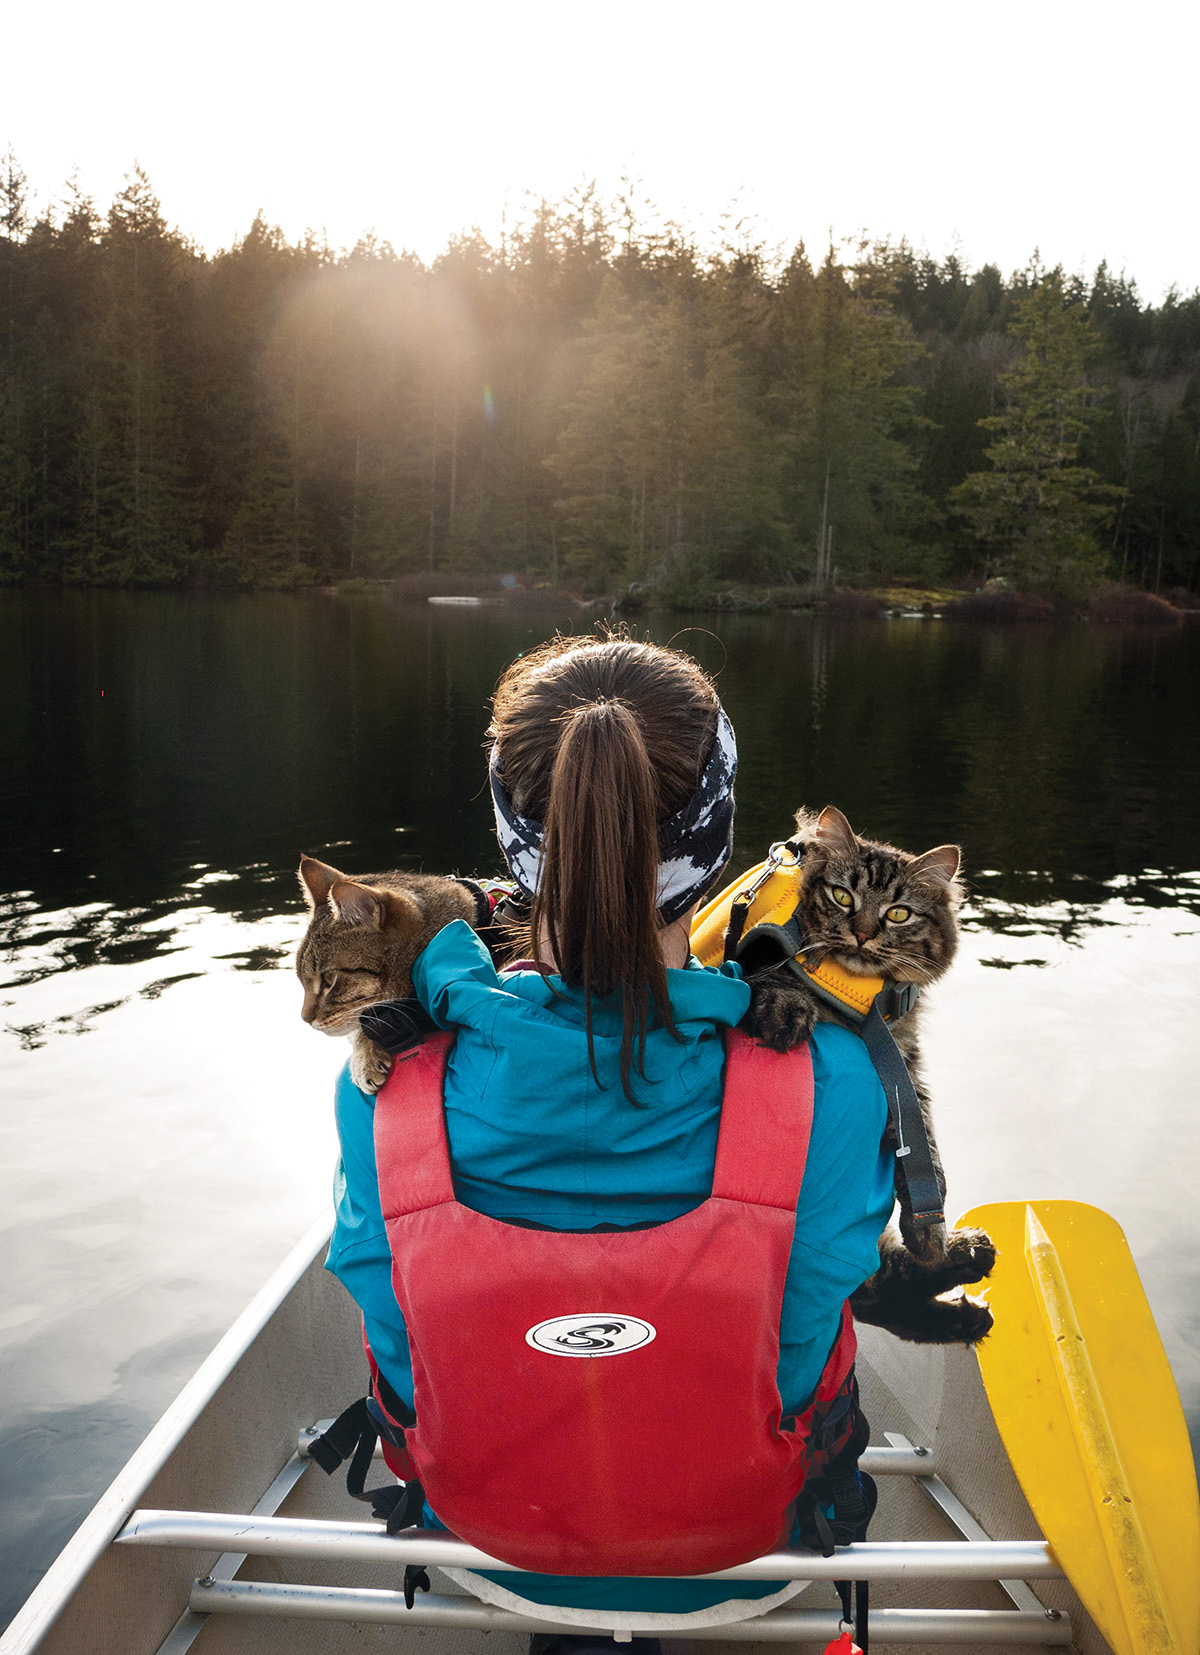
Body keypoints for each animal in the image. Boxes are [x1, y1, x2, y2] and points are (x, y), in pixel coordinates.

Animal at [748, 807, 993, 1350]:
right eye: (843, 897)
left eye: (898, 914)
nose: (861, 933)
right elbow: (772, 981)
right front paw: (787, 1010)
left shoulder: (905, 1062)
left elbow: (925, 1150)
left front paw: (930, 1232)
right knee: (872, 1290)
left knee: (888, 1286)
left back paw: (962, 1266)